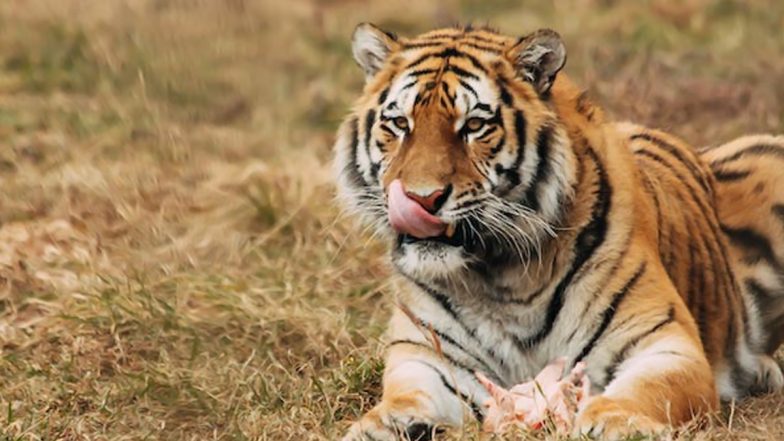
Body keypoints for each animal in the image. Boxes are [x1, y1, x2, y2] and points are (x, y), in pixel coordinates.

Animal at [332, 22, 784, 438]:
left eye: (475, 126)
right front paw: (379, 425)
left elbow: (643, 392)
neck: (500, 276)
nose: (421, 198)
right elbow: (406, 398)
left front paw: (613, 421)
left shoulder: (663, 342)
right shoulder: (426, 356)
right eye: (399, 123)